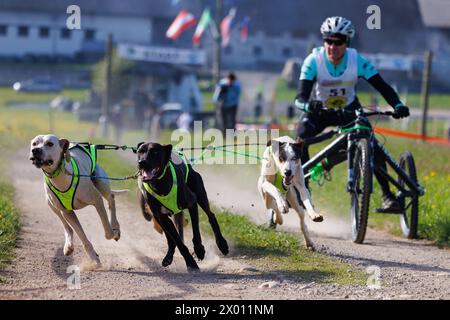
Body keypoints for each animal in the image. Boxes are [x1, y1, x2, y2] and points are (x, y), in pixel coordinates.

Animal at [29, 134, 122, 266]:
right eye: (34, 143)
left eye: (50, 144)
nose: (35, 150)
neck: (61, 175)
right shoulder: (67, 212)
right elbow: (81, 235)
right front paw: (93, 257)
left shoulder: (97, 200)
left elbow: (108, 232)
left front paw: (114, 232)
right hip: (50, 203)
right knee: (67, 226)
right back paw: (68, 245)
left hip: (101, 183)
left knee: (111, 198)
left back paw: (115, 226)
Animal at [135, 142, 229, 270]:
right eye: (140, 151)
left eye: (155, 152)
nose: (142, 162)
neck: (160, 184)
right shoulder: (161, 216)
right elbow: (178, 241)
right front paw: (190, 263)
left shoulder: (192, 203)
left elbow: (196, 232)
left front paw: (199, 250)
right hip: (162, 217)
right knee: (171, 239)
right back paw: (168, 256)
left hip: (200, 194)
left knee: (211, 216)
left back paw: (222, 244)